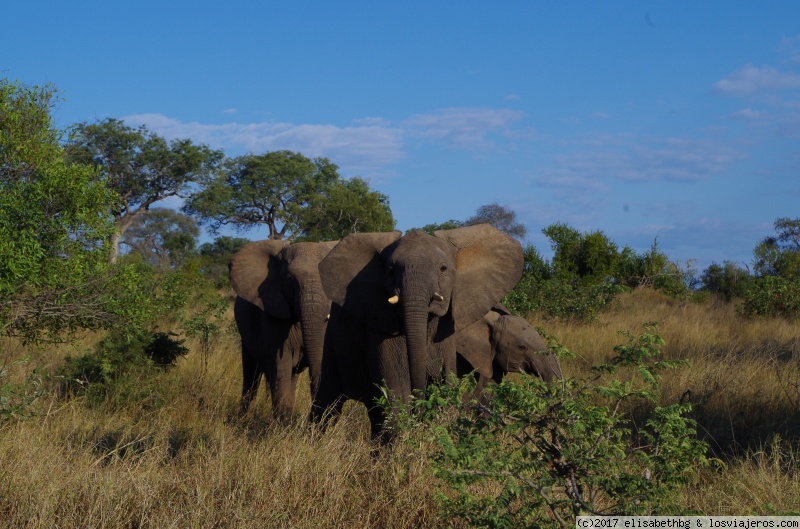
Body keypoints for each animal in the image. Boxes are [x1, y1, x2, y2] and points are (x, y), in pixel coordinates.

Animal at [228, 239, 338, 420]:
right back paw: (243, 418)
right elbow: (281, 365)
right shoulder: (271, 312)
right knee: (251, 376)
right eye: (290, 280)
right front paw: (283, 424)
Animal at [310, 225, 520, 436]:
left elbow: (445, 384)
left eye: (443, 268)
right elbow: (397, 389)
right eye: (391, 271)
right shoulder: (381, 329)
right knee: (327, 402)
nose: (420, 407)